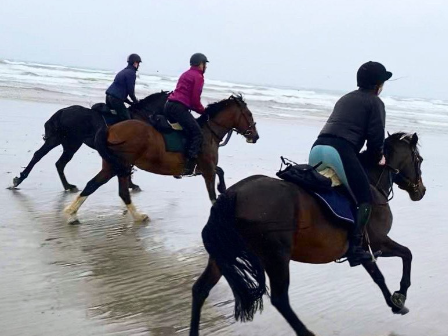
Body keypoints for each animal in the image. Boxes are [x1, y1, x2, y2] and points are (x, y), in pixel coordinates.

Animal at [63, 94, 260, 223]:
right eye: (249, 114)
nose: (255, 136)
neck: (209, 133)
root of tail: (111, 128)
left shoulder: (206, 168)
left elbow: (221, 172)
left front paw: (223, 189)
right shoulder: (207, 169)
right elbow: (212, 192)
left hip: (114, 165)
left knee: (103, 187)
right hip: (118, 165)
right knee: (105, 187)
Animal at [190, 133, 428, 336]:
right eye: (419, 160)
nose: (421, 191)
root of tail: (232, 194)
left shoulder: (364, 250)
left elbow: (378, 276)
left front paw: (395, 303)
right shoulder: (378, 242)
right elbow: (407, 254)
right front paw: (401, 294)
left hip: (225, 253)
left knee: (200, 290)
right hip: (276, 256)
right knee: (280, 299)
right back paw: (306, 332)